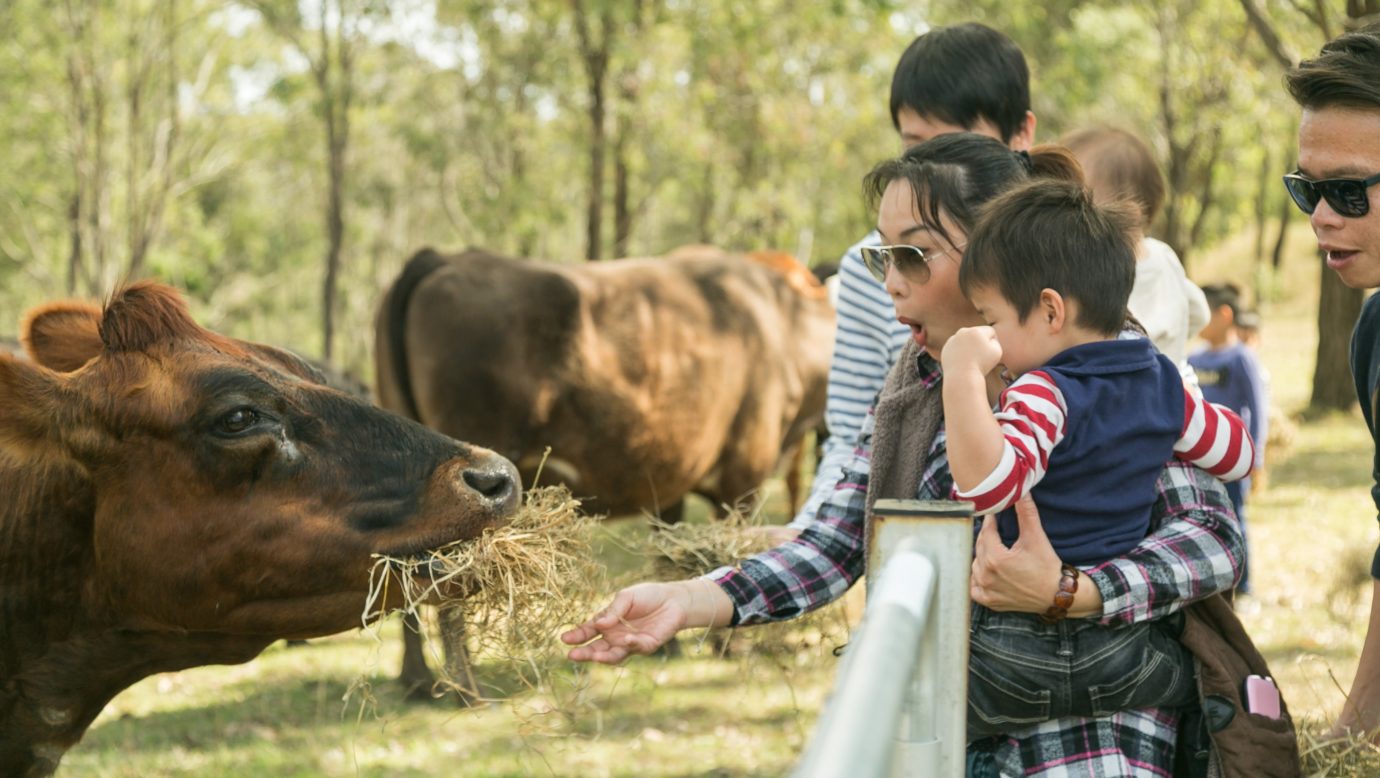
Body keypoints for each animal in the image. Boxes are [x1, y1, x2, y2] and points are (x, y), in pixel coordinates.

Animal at [372, 244, 833, 697]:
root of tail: (442, 257)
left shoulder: (670, 475)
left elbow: (666, 550)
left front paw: (667, 646)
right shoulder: (743, 473)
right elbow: (731, 550)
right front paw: (730, 646)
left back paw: (418, 679)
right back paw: (466, 686)